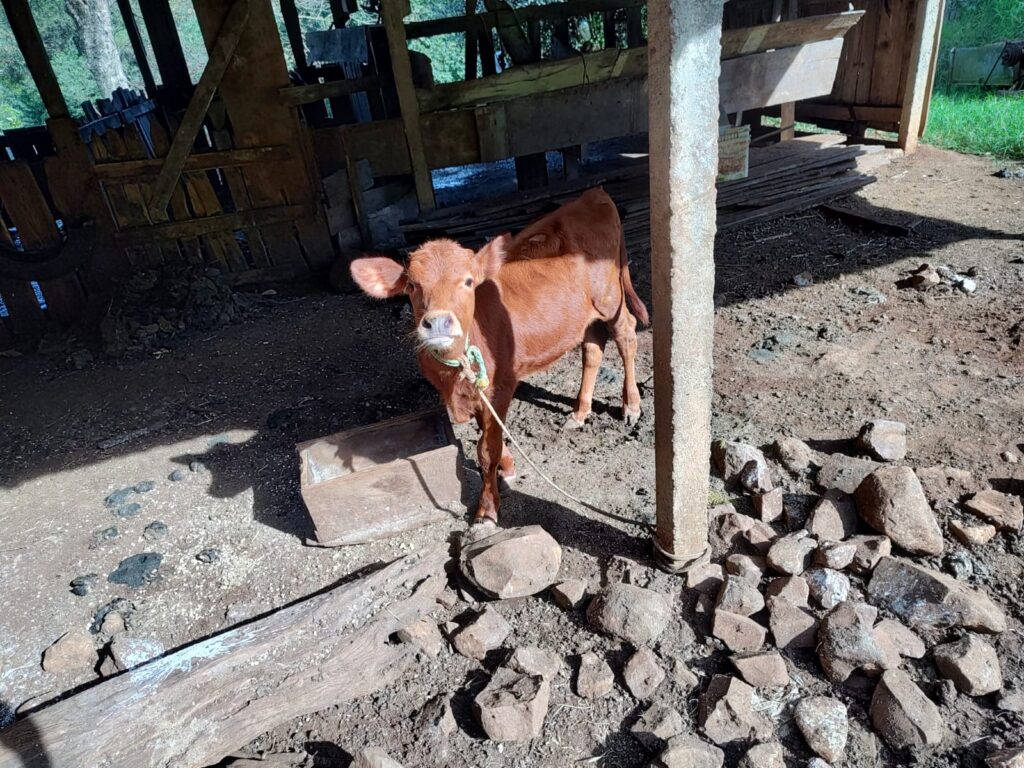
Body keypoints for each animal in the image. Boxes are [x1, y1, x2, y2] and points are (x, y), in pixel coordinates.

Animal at [350, 187, 649, 522]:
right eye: (412, 285)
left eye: (468, 281)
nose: (438, 322)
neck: (456, 370)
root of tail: (593, 194)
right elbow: (487, 434)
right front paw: (507, 466)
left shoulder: (501, 386)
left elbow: (486, 448)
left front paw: (487, 508)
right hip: (585, 313)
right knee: (593, 347)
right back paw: (580, 412)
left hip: (610, 300)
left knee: (626, 334)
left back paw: (631, 406)